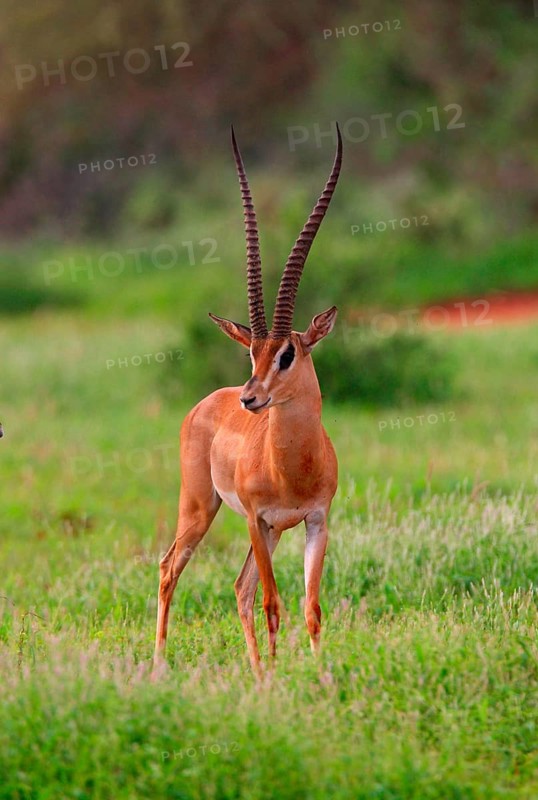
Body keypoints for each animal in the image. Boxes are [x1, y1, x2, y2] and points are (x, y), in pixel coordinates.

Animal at [154, 125, 342, 674]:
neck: (294, 467)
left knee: (239, 588)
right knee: (170, 566)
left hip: (271, 530)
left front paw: (320, 679)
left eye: (287, 353)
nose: (250, 398)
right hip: (202, 507)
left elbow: (310, 607)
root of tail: (206, 402)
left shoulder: (316, 520)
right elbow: (273, 604)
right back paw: (157, 667)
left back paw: (258, 671)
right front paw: (280, 683)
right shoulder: (258, 521)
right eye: (251, 352)